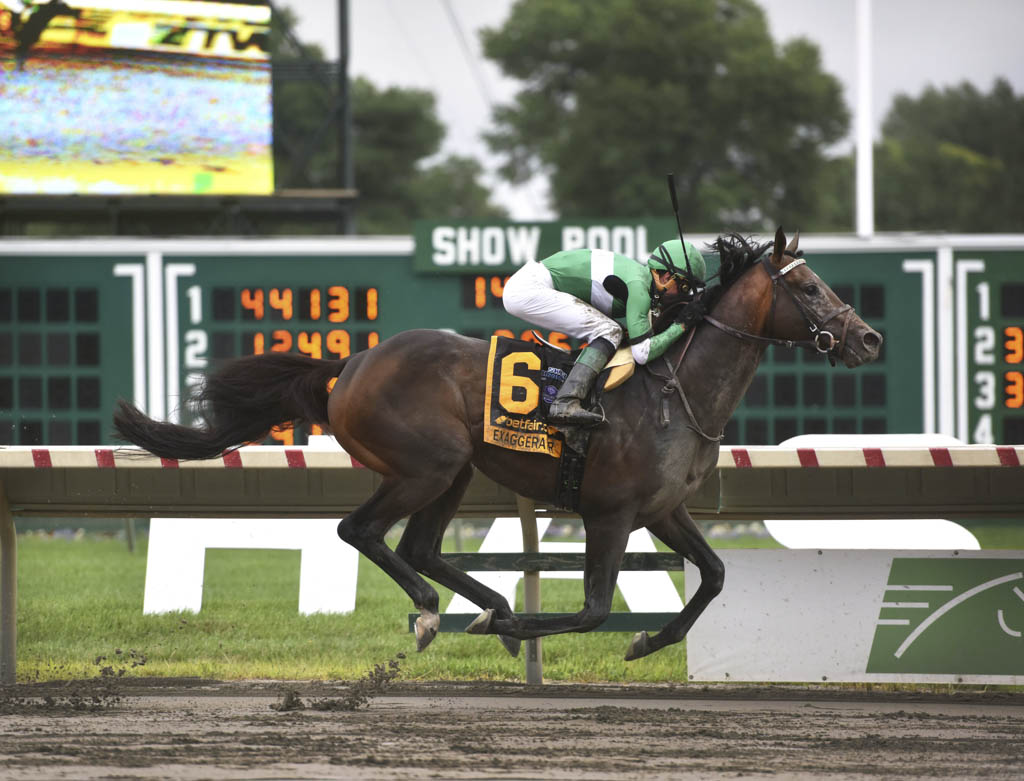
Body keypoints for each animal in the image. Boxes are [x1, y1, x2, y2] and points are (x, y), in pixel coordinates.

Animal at [112, 227, 880, 659]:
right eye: (811, 287)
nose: (869, 338)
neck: (674, 391)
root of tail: (348, 364)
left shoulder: (664, 509)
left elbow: (714, 576)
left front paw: (647, 640)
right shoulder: (610, 514)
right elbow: (592, 609)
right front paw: (516, 629)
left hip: (452, 472)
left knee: (419, 545)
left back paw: (486, 607)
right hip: (428, 464)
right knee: (361, 530)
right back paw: (440, 613)